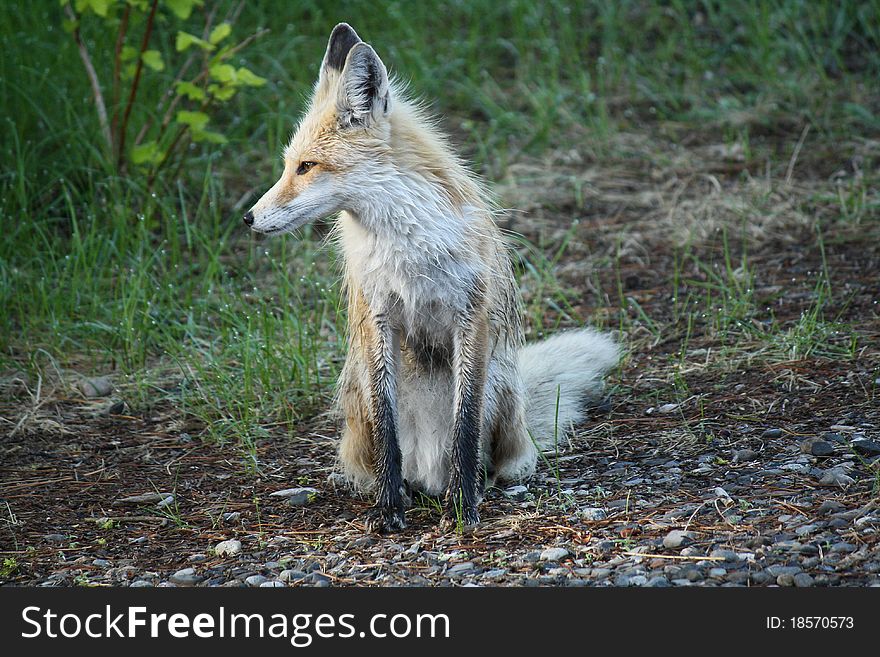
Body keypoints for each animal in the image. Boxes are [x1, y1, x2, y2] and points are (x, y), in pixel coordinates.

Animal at [244, 24, 620, 532]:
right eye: (289, 165)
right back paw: (400, 487)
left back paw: (481, 481)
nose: (248, 217)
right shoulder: (377, 318)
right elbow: (388, 434)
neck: (407, 248)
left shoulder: (470, 316)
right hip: (359, 387)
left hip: (501, 384)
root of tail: (429, 474)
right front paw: (388, 507)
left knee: (496, 456)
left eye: (306, 166)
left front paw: (463, 504)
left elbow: (465, 426)